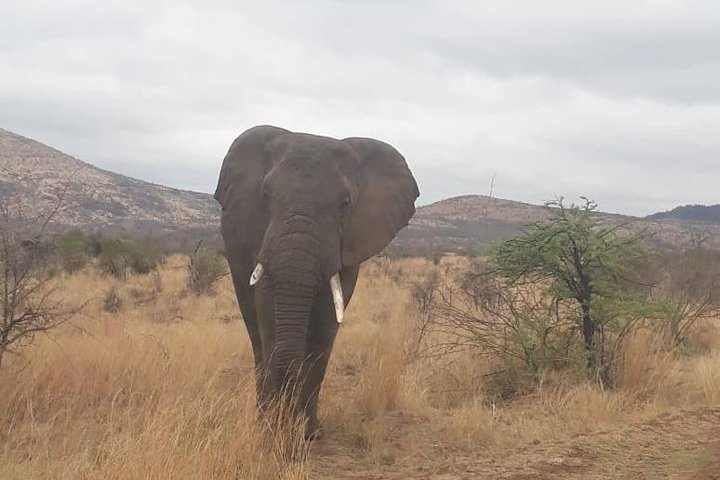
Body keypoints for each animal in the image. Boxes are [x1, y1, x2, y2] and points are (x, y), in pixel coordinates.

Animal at [214, 125, 416, 436]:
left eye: (345, 203)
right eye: (265, 195)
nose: (286, 416)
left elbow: (326, 325)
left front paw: (307, 431)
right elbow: (268, 313)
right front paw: (273, 428)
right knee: (254, 331)